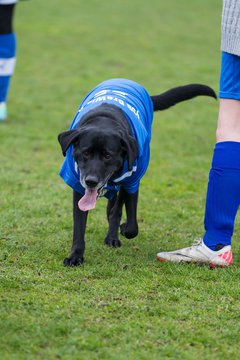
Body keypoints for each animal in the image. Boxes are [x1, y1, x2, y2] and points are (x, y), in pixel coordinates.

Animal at [58, 79, 216, 266]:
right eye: (86, 153)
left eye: (107, 155)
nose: (91, 181)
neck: (105, 120)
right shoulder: (78, 185)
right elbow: (79, 226)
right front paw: (76, 256)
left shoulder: (132, 181)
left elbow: (132, 225)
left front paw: (123, 228)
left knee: (117, 208)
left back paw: (113, 235)